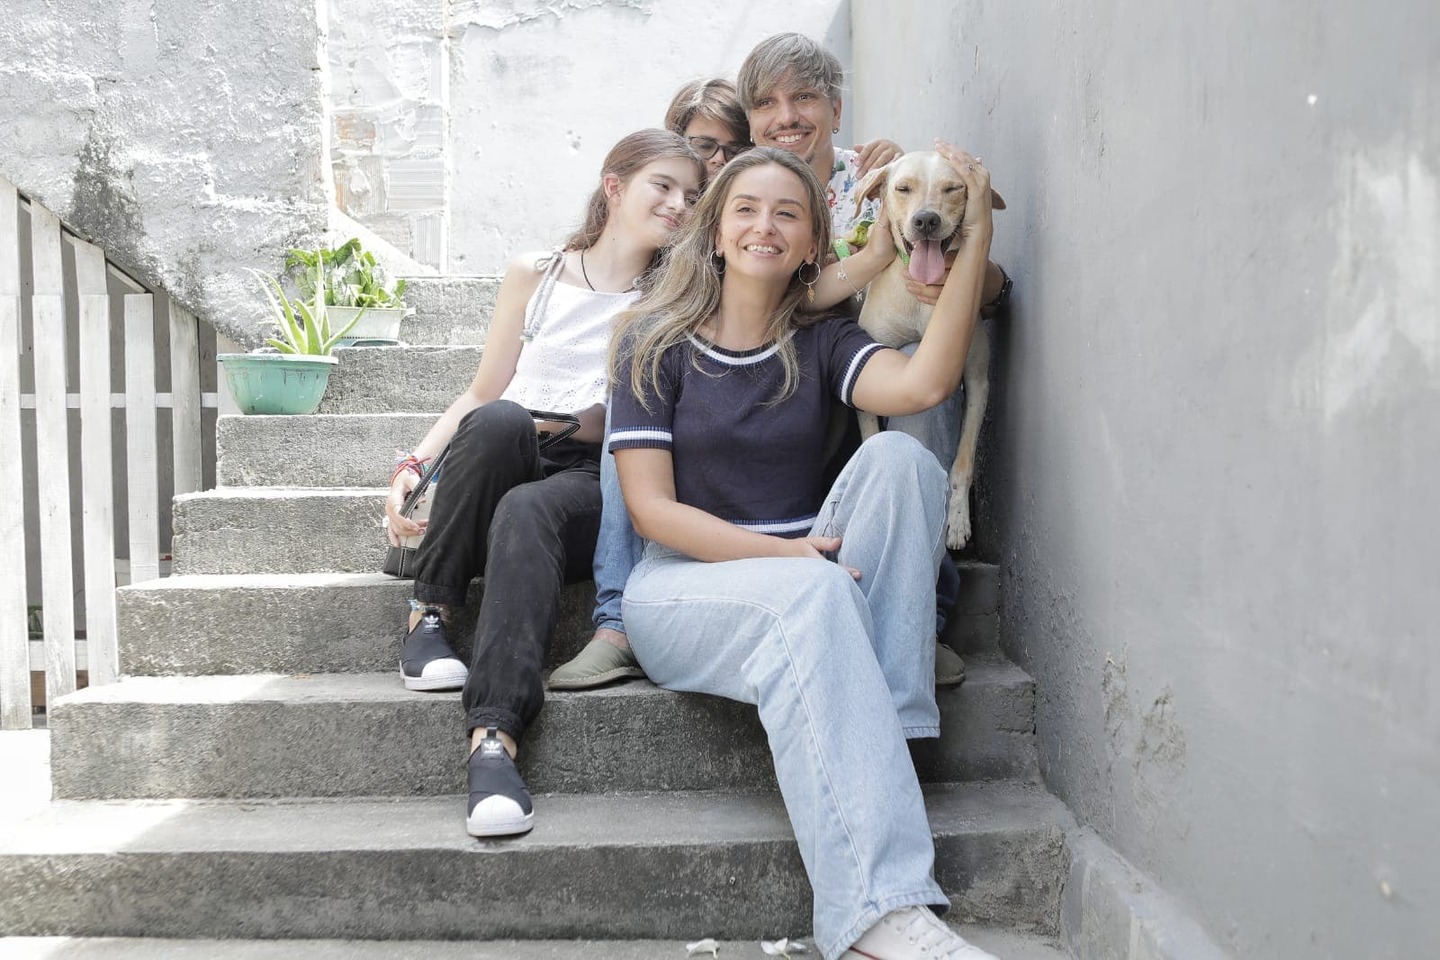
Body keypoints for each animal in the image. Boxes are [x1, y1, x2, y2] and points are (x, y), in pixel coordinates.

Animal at [846, 154, 1008, 552]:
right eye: (903, 188)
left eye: (953, 188)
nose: (926, 220)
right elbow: (871, 437)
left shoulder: (977, 380)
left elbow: (963, 462)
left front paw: (957, 521)